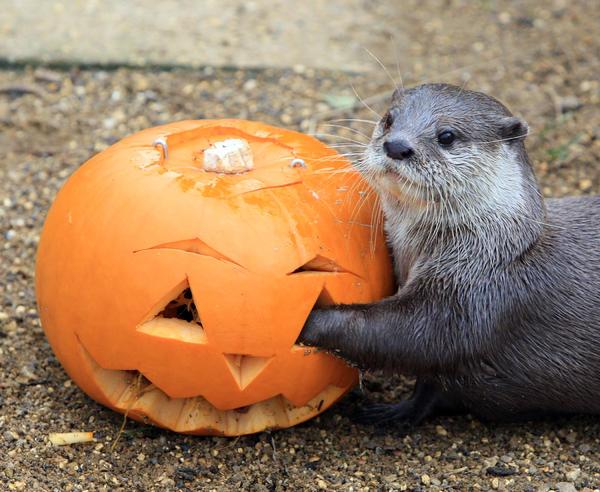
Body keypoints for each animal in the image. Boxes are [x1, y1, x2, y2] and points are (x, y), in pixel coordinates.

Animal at [298, 83, 600, 426]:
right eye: (389, 119)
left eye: (447, 136)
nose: (396, 145)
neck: (498, 249)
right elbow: (428, 384)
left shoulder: (471, 296)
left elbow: (412, 338)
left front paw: (310, 320)